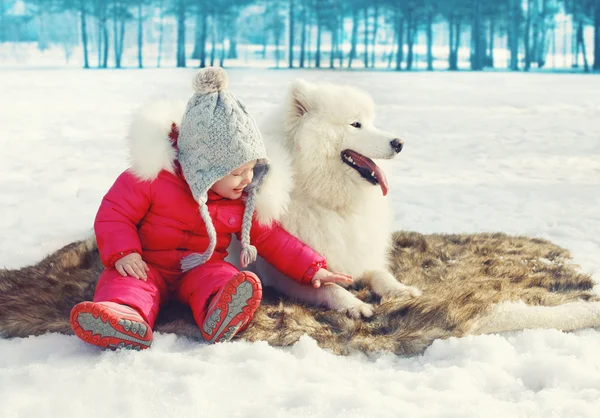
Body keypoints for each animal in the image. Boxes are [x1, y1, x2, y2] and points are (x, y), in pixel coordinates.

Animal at [237, 79, 420, 316]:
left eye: (371, 123)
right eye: (355, 124)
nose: (399, 143)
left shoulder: (357, 256)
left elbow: (380, 274)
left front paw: (401, 289)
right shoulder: (284, 278)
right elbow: (330, 287)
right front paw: (356, 305)